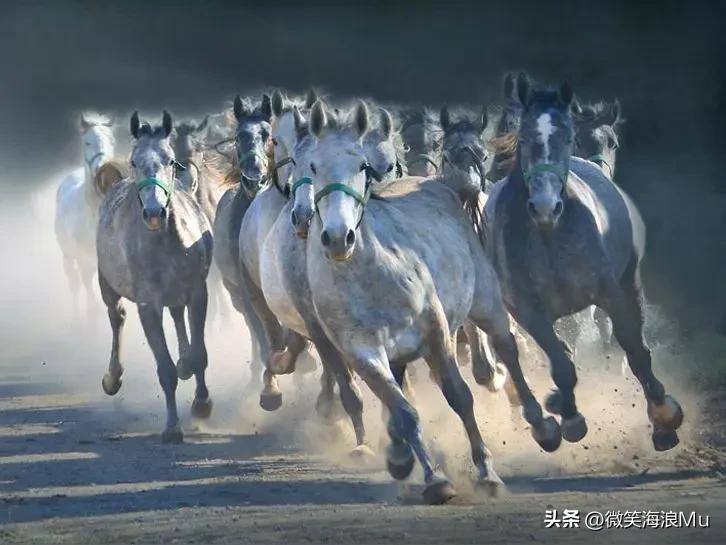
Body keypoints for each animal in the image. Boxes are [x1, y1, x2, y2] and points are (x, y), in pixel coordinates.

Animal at [55, 113, 117, 322]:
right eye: (87, 142)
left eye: (111, 141)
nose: (103, 170)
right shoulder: (85, 260)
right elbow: (89, 293)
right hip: (68, 255)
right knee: (74, 284)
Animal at [97, 111, 213, 443]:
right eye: (135, 161)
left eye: (169, 160)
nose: (153, 212)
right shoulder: (148, 305)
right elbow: (165, 369)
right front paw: (172, 427)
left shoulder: (198, 292)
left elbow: (200, 353)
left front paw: (202, 404)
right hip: (106, 284)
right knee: (117, 316)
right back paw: (113, 378)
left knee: (176, 314)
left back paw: (185, 363)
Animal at [302, 99, 558, 504]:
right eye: (313, 166)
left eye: (362, 166)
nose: (338, 237)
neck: (369, 276)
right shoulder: (361, 351)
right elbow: (403, 410)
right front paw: (432, 477)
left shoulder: (436, 332)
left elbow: (460, 396)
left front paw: (487, 472)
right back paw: (399, 453)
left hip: (486, 303)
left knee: (507, 349)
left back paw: (541, 424)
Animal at [484, 75, 683, 452]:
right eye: (523, 137)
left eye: (567, 136)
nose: (545, 206)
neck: (549, 235)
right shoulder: (529, 310)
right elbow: (560, 364)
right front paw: (570, 420)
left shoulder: (611, 291)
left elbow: (634, 348)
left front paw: (665, 420)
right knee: (512, 354)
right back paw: (546, 420)